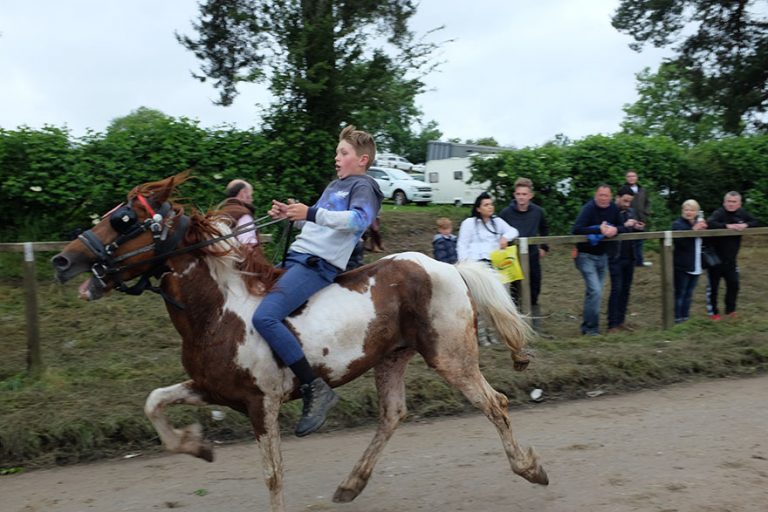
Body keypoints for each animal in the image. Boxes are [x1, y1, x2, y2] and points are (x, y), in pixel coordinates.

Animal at [51, 173, 548, 511]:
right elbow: (154, 402)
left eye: (124, 220)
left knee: (495, 403)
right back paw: (351, 485)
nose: (63, 260)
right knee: (392, 416)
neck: (216, 311)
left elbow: (273, 475)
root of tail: (448, 266)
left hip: (451, 357)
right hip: (392, 359)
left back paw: (530, 468)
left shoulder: (262, 403)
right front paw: (197, 445)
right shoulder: (210, 389)